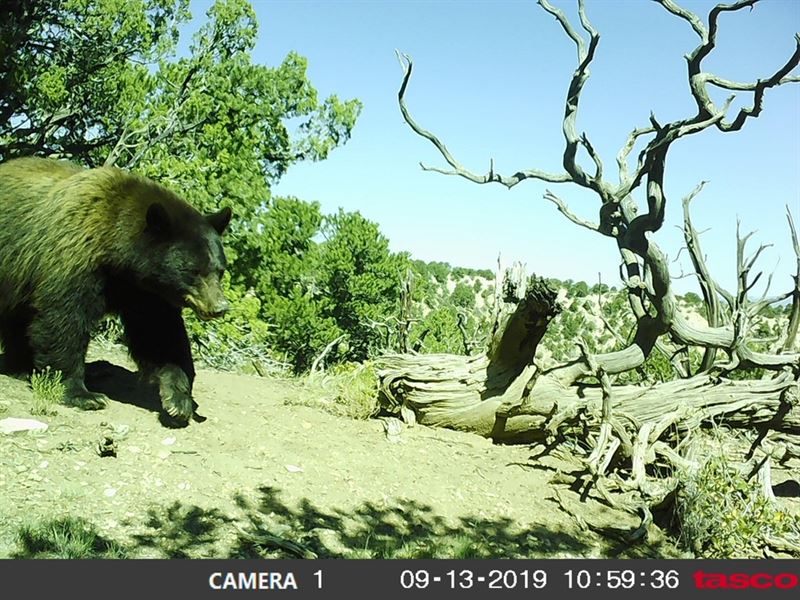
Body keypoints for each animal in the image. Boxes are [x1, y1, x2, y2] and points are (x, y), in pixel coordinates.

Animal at [0, 157, 231, 424]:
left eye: (220, 270)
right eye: (194, 271)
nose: (219, 307)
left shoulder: (146, 291)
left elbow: (160, 333)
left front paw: (177, 399)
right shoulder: (74, 260)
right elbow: (63, 320)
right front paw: (81, 393)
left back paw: (21, 367)